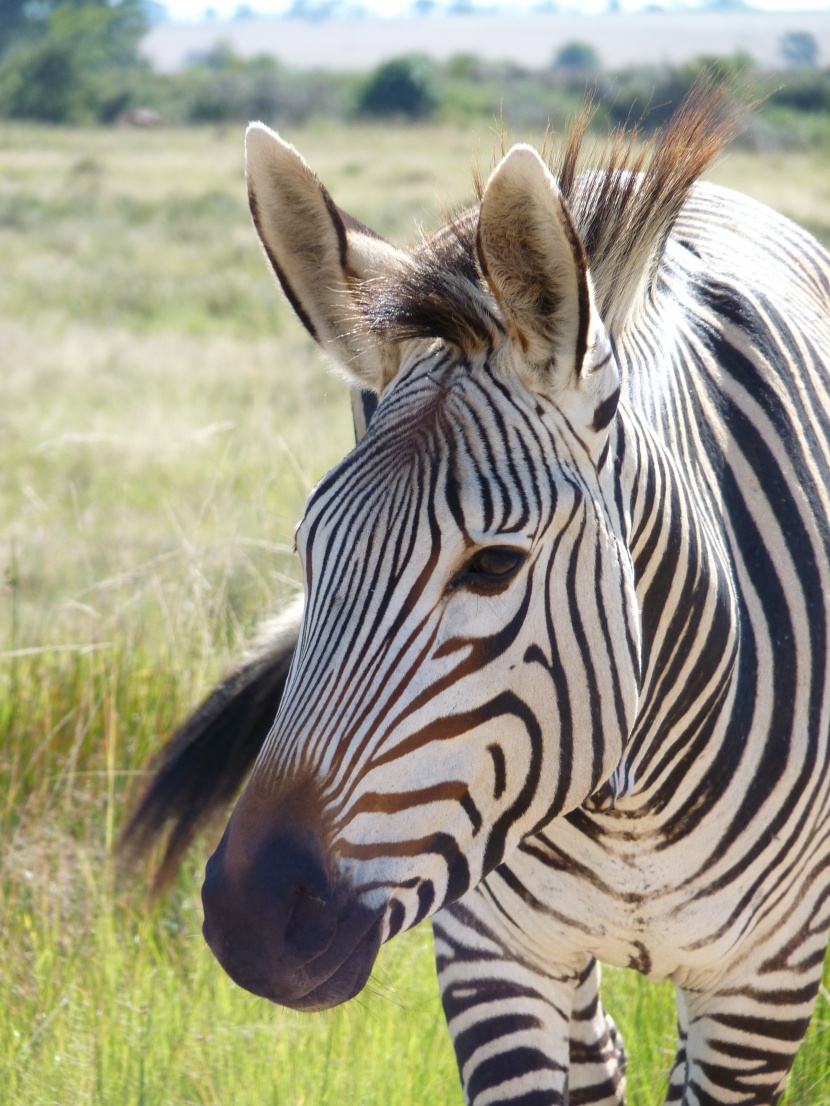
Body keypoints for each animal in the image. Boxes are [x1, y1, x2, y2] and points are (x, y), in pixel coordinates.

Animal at [123, 90, 830, 1101]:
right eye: (308, 550)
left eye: (494, 566)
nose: (253, 923)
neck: (633, 805)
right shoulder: (492, 957)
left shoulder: (764, 981)